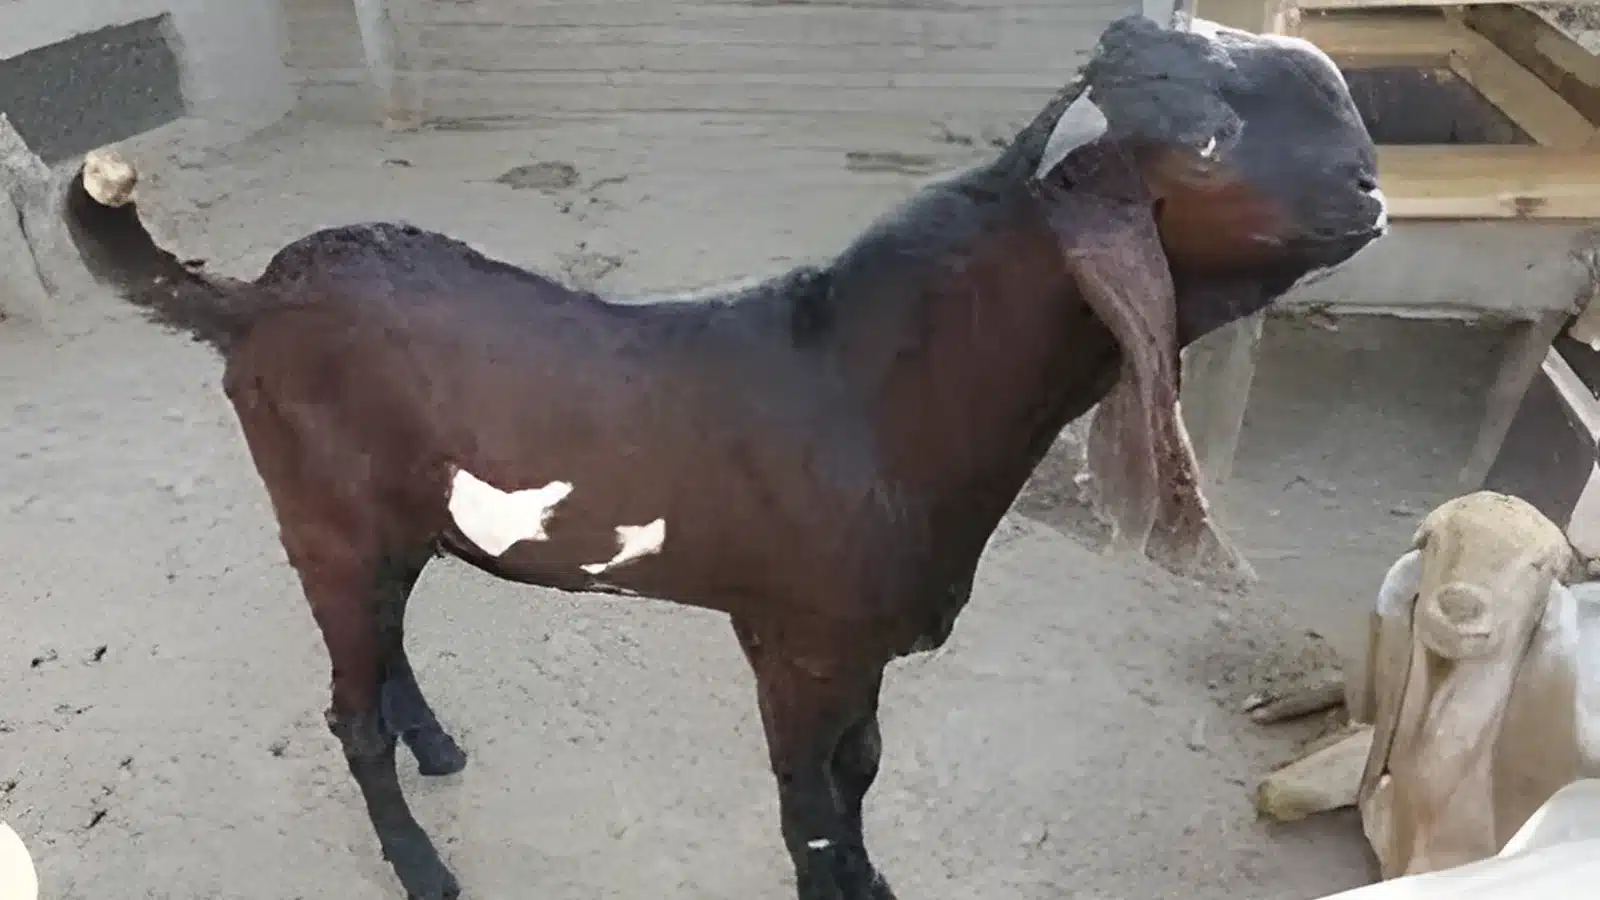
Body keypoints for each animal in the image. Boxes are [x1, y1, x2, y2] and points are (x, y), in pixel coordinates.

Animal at [59, 16, 1384, 900]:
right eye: (1206, 131)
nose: (1370, 183)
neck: (869, 391)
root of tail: (252, 302)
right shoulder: (791, 640)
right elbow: (810, 808)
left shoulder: (862, 644)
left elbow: (862, 771)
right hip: (323, 518)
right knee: (347, 712)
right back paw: (422, 864)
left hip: (399, 525)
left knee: (384, 652)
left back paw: (437, 743)